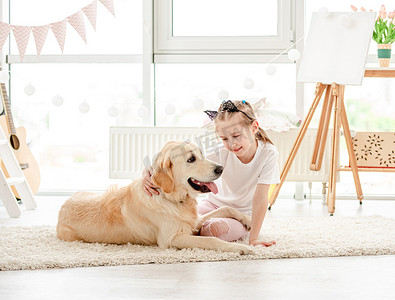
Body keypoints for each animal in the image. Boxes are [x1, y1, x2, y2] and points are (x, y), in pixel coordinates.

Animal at [56, 141, 251, 253]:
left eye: (202, 154)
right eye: (191, 159)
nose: (220, 168)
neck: (173, 198)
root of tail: (62, 208)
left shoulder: (194, 221)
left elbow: (226, 208)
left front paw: (248, 220)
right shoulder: (171, 238)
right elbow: (212, 239)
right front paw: (240, 247)